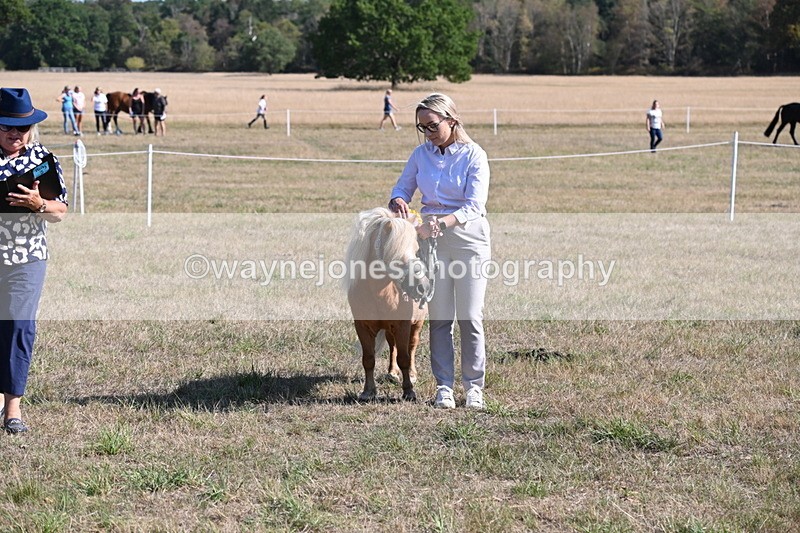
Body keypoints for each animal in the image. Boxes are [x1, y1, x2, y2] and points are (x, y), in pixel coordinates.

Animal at [343, 207, 432, 402]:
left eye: (416, 250)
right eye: (395, 252)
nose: (423, 287)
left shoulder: (403, 325)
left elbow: (404, 358)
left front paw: (409, 391)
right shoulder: (362, 327)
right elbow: (369, 359)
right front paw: (368, 391)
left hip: (416, 324)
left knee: (412, 346)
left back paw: (412, 374)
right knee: (392, 347)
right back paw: (391, 373)